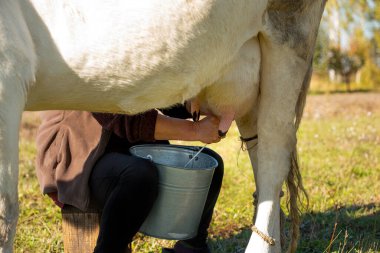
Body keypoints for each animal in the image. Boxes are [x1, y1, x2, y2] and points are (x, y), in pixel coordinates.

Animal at [0, 0, 326, 252]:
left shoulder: (9, 70)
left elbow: (5, 212)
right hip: (249, 72)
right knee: (259, 157)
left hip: (289, 35)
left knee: (273, 156)